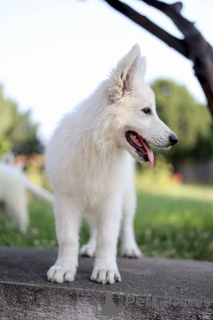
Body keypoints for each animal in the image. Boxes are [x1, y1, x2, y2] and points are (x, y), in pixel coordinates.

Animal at [46, 43, 178, 284]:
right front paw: (64, 267)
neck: (99, 147)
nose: (175, 139)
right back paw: (90, 247)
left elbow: (108, 239)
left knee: (126, 225)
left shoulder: (110, 200)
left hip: (127, 197)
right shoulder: (66, 199)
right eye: (147, 111)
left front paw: (105, 268)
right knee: (94, 226)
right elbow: (68, 237)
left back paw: (130, 248)